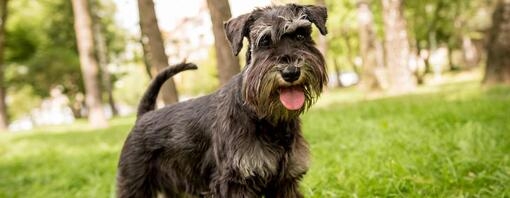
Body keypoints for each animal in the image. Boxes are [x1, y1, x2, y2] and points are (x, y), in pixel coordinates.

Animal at [117, 3, 328, 197]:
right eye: (264, 41)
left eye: (301, 35)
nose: (291, 72)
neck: (266, 119)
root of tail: (143, 116)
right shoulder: (234, 181)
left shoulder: (286, 179)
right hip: (135, 183)